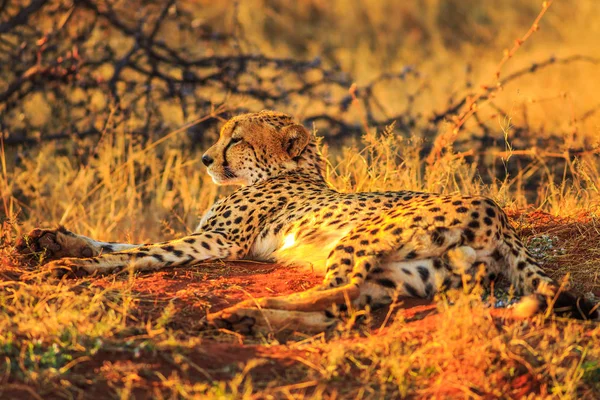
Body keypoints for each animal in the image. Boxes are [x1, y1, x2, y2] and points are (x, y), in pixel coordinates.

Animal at [16, 110, 596, 334]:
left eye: (235, 139)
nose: (204, 159)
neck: (291, 171)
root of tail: (500, 215)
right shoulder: (208, 235)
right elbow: (117, 241)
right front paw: (54, 239)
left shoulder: (217, 242)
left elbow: (138, 252)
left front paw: (71, 267)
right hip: (410, 273)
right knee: (346, 307)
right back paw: (252, 320)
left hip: (363, 238)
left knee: (337, 295)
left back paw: (243, 312)